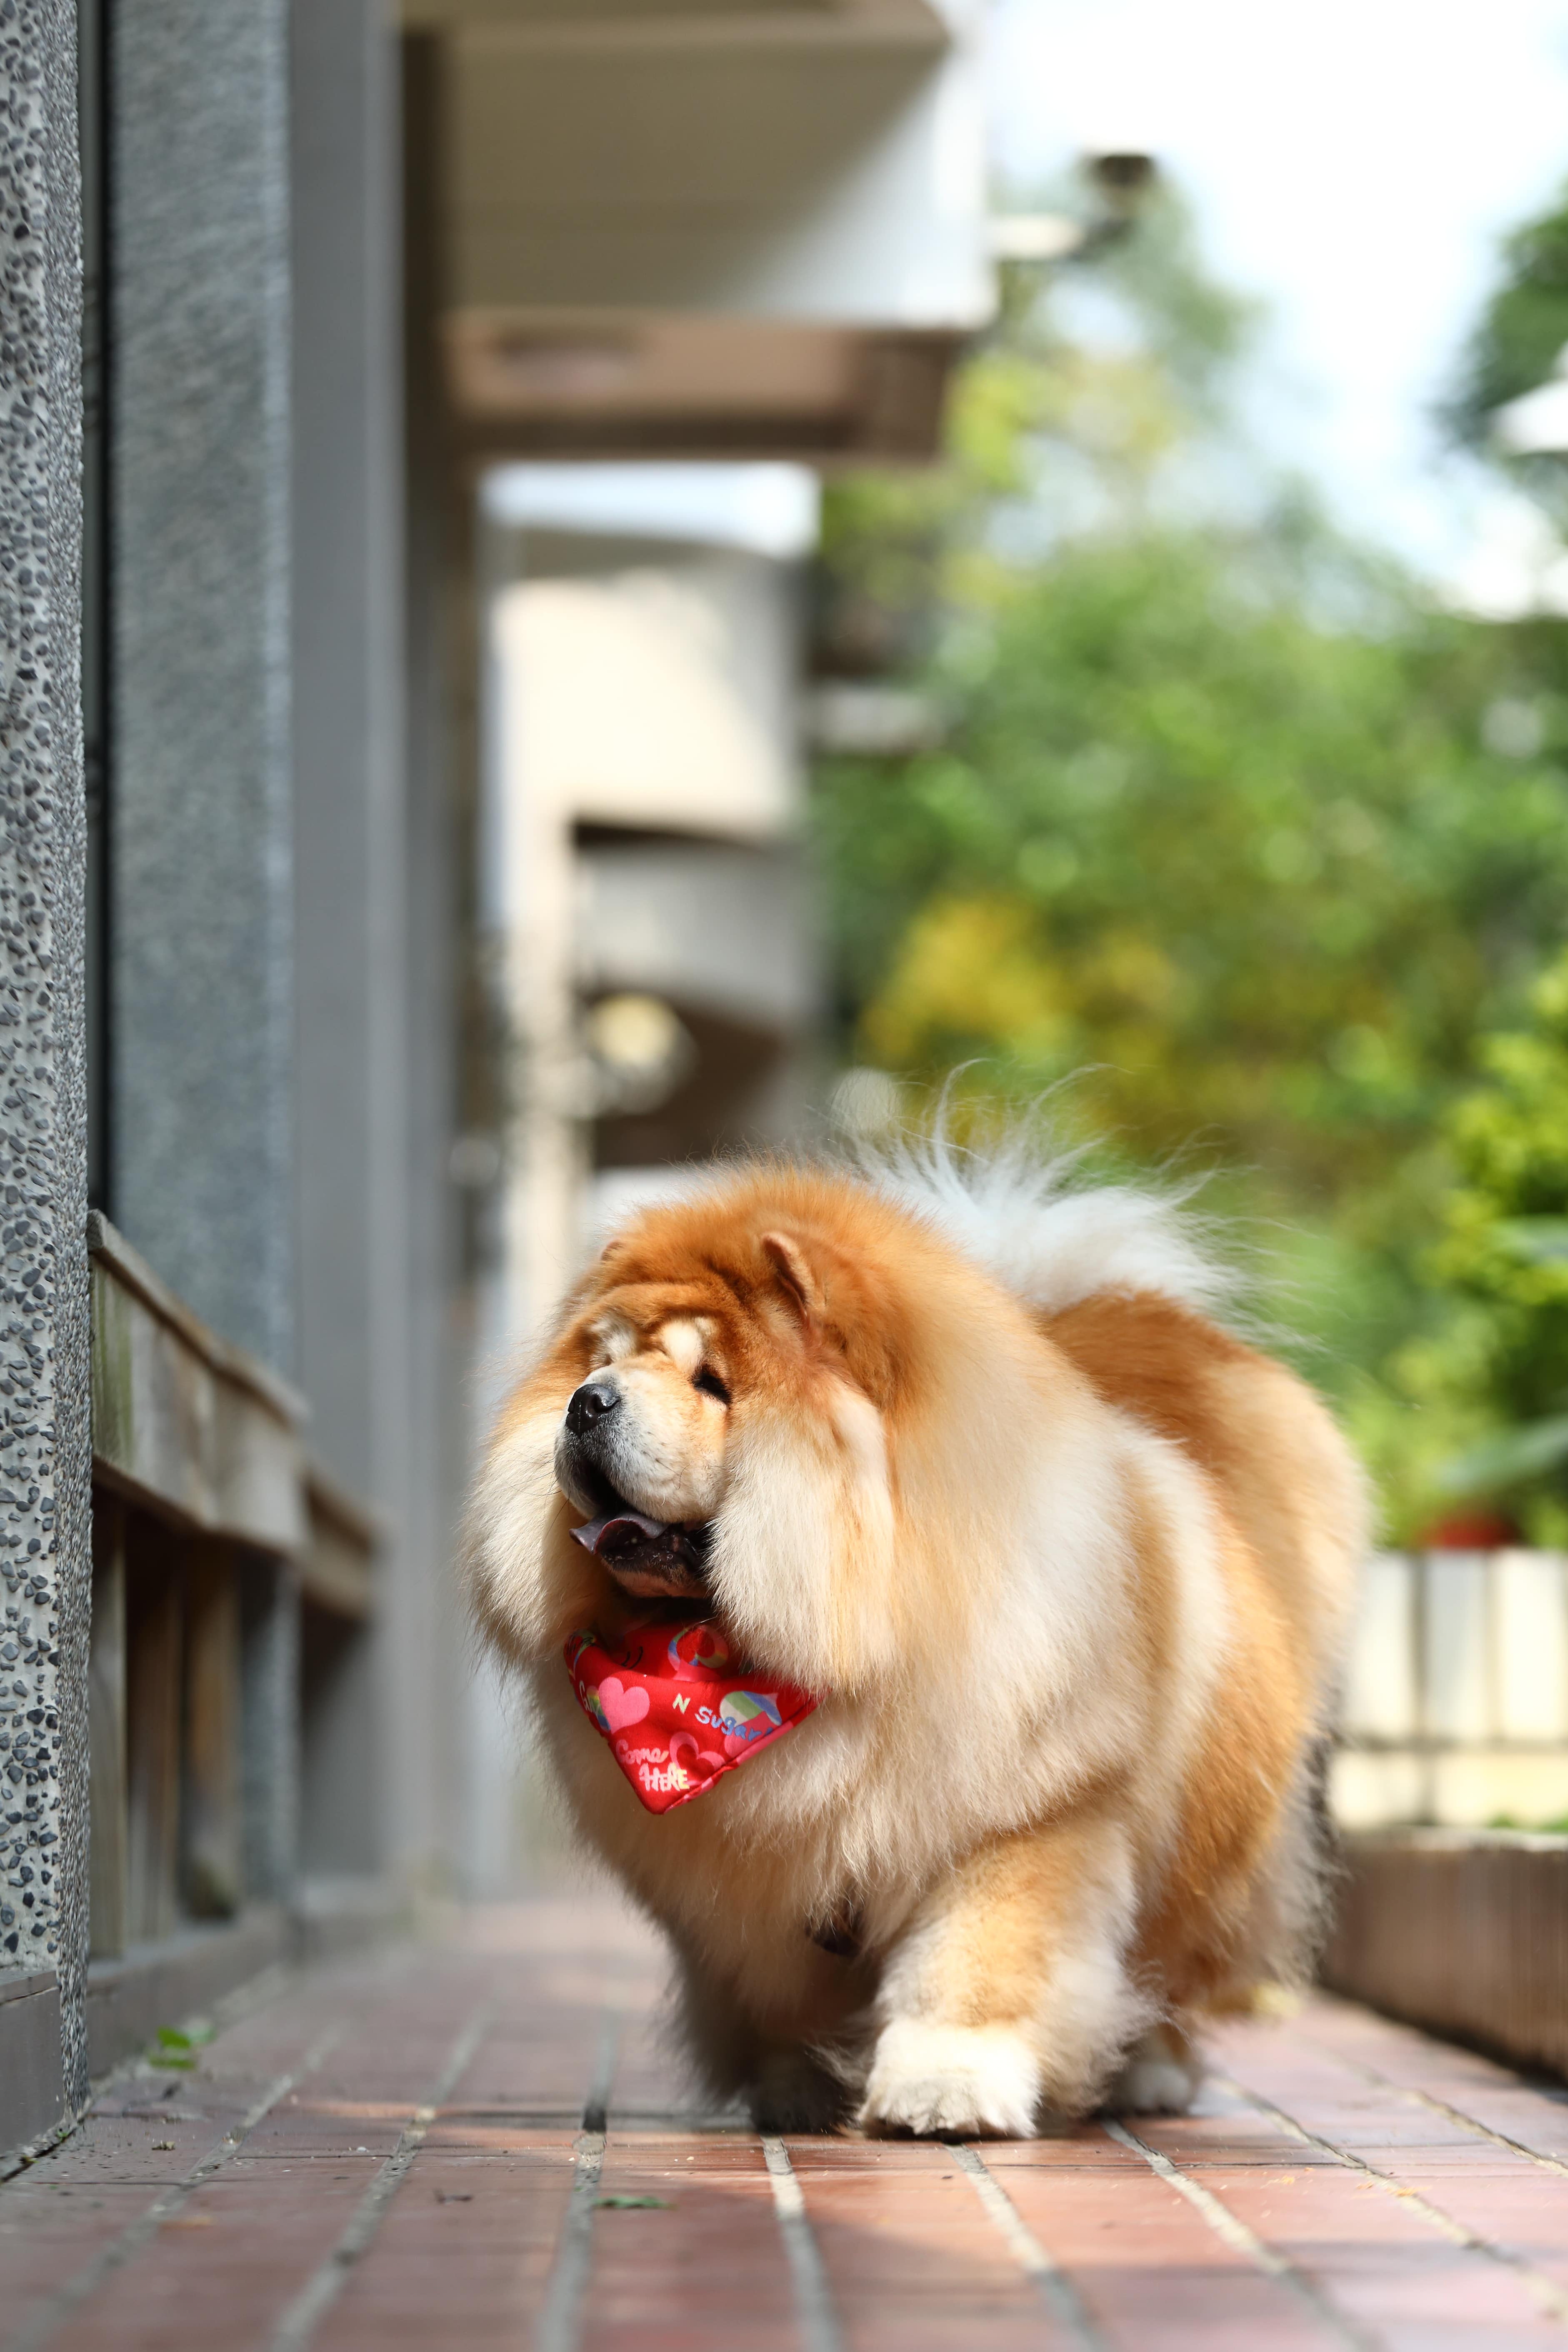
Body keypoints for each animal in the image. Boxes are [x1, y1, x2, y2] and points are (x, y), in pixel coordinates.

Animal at [465, 1129, 1363, 2145]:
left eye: (713, 1384)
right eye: (602, 1359)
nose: (586, 1401)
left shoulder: (1027, 1824)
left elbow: (973, 1967)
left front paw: (945, 2090)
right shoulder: (756, 1883)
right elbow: (782, 1998)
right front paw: (799, 2090)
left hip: (1207, 1855)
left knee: (1170, 1971)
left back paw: (1149, 2075)